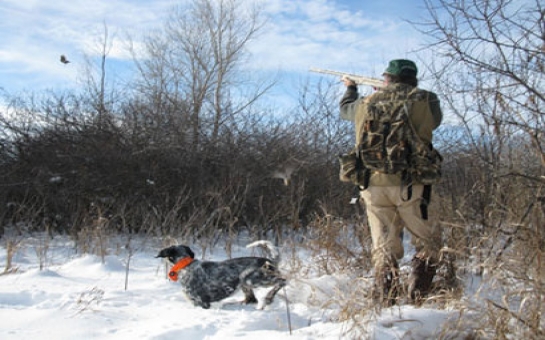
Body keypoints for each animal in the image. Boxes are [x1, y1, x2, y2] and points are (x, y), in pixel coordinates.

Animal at [154, 240, 284, 310]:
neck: (186, 265)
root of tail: (269, 260)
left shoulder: (201, 302)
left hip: (252, 278)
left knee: (282, 281)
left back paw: (268, 298)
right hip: (245, 282)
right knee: (251, 299)